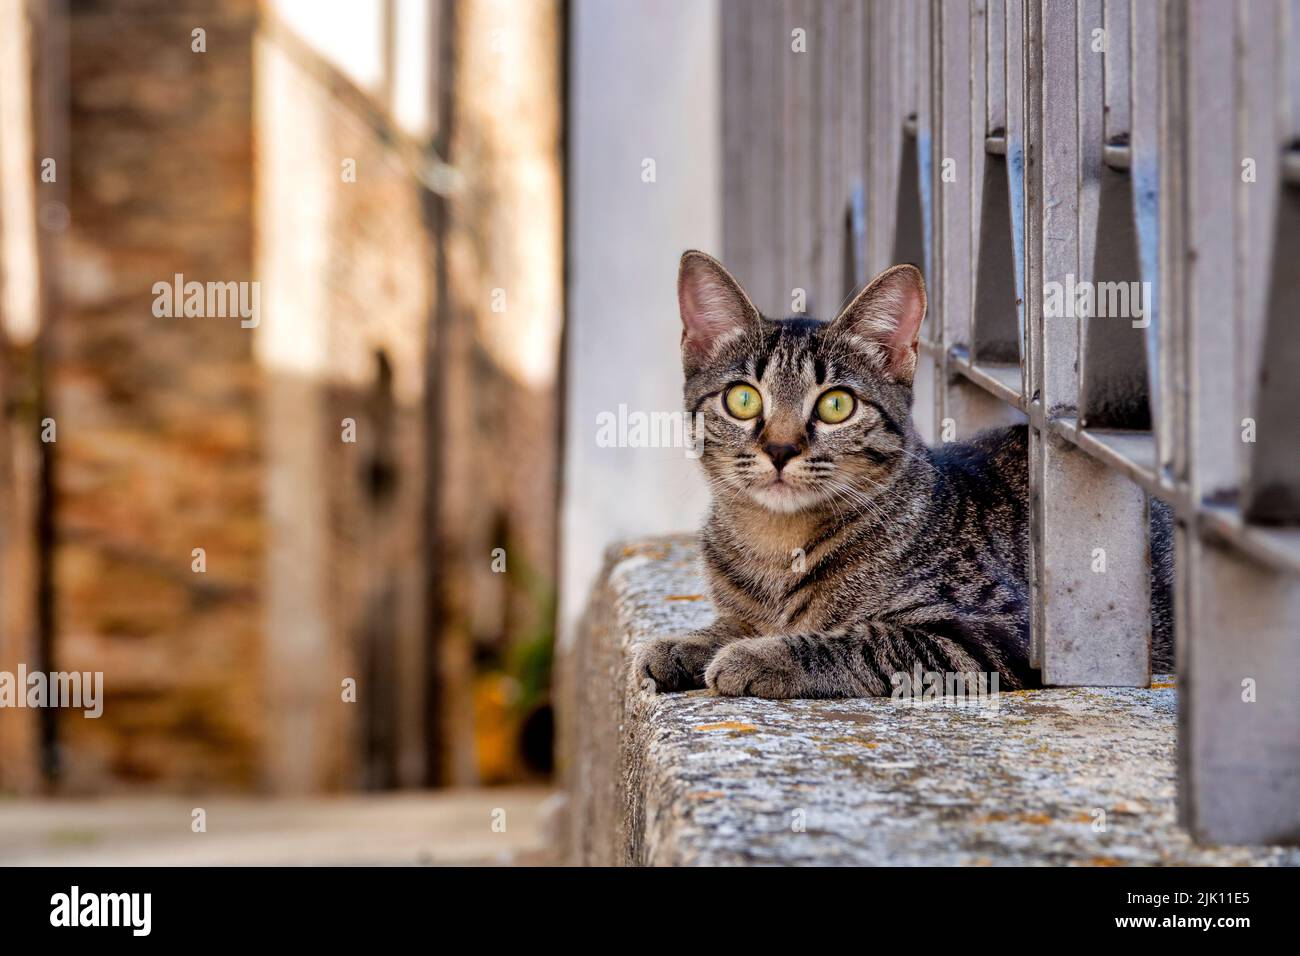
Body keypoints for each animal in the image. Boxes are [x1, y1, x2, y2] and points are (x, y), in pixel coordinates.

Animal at [634, 252, 1175, 702]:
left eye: (836, 405)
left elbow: (861, 641)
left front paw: (760, 655)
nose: (781, 449)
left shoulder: (993, 634)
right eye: (742, 399)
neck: (776, 545)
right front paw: (685, 644)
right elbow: (731, 623)